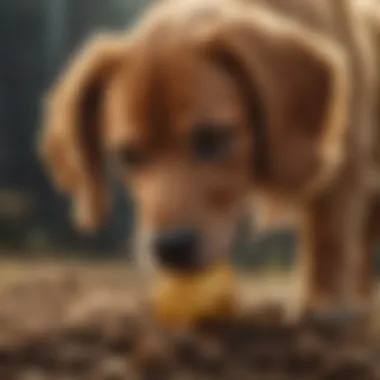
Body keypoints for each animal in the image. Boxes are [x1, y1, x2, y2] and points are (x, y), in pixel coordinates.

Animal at [37, 0, 380, 320]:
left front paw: (324, 303)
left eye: (210, 139)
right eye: (129, 155)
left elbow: (329, 237)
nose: (170, 249)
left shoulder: (347, 167)